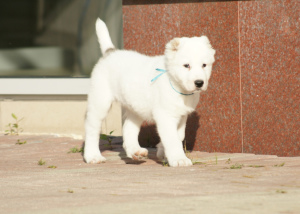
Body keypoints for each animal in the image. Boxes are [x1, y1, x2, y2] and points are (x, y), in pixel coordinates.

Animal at [84, 18, 216, 167]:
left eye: (204, 65)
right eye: (186, 65)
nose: (199, 83)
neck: (175, 84)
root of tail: (110, 53)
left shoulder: (182, 116)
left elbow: (179, 136)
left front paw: (162, 152)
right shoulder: (165, 115)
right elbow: (172, 139)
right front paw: (178, 159)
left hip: (135, 108)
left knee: (129, 128)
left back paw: (135, 151)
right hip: (100, 102)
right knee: (92, 128)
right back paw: (92, 156)